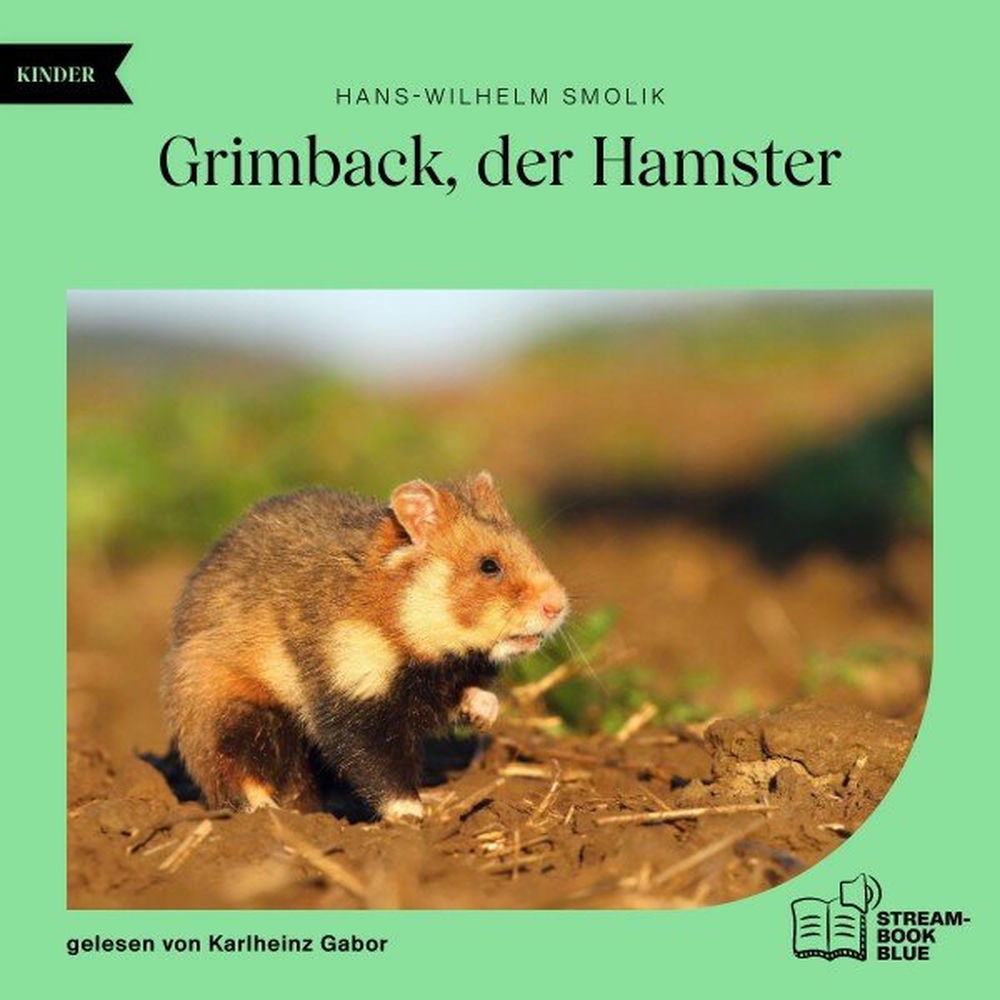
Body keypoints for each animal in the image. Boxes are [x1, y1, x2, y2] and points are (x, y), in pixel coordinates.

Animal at [161, 471, 568, 823]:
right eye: (488, 566)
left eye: (530, 547)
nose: (559, 605)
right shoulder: (351, 691)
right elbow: (375, 763)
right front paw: (413, 816)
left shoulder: (439, 682)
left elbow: (470, 696)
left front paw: (485, 713)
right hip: (232, 710)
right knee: (231, 768)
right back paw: (269, 814)